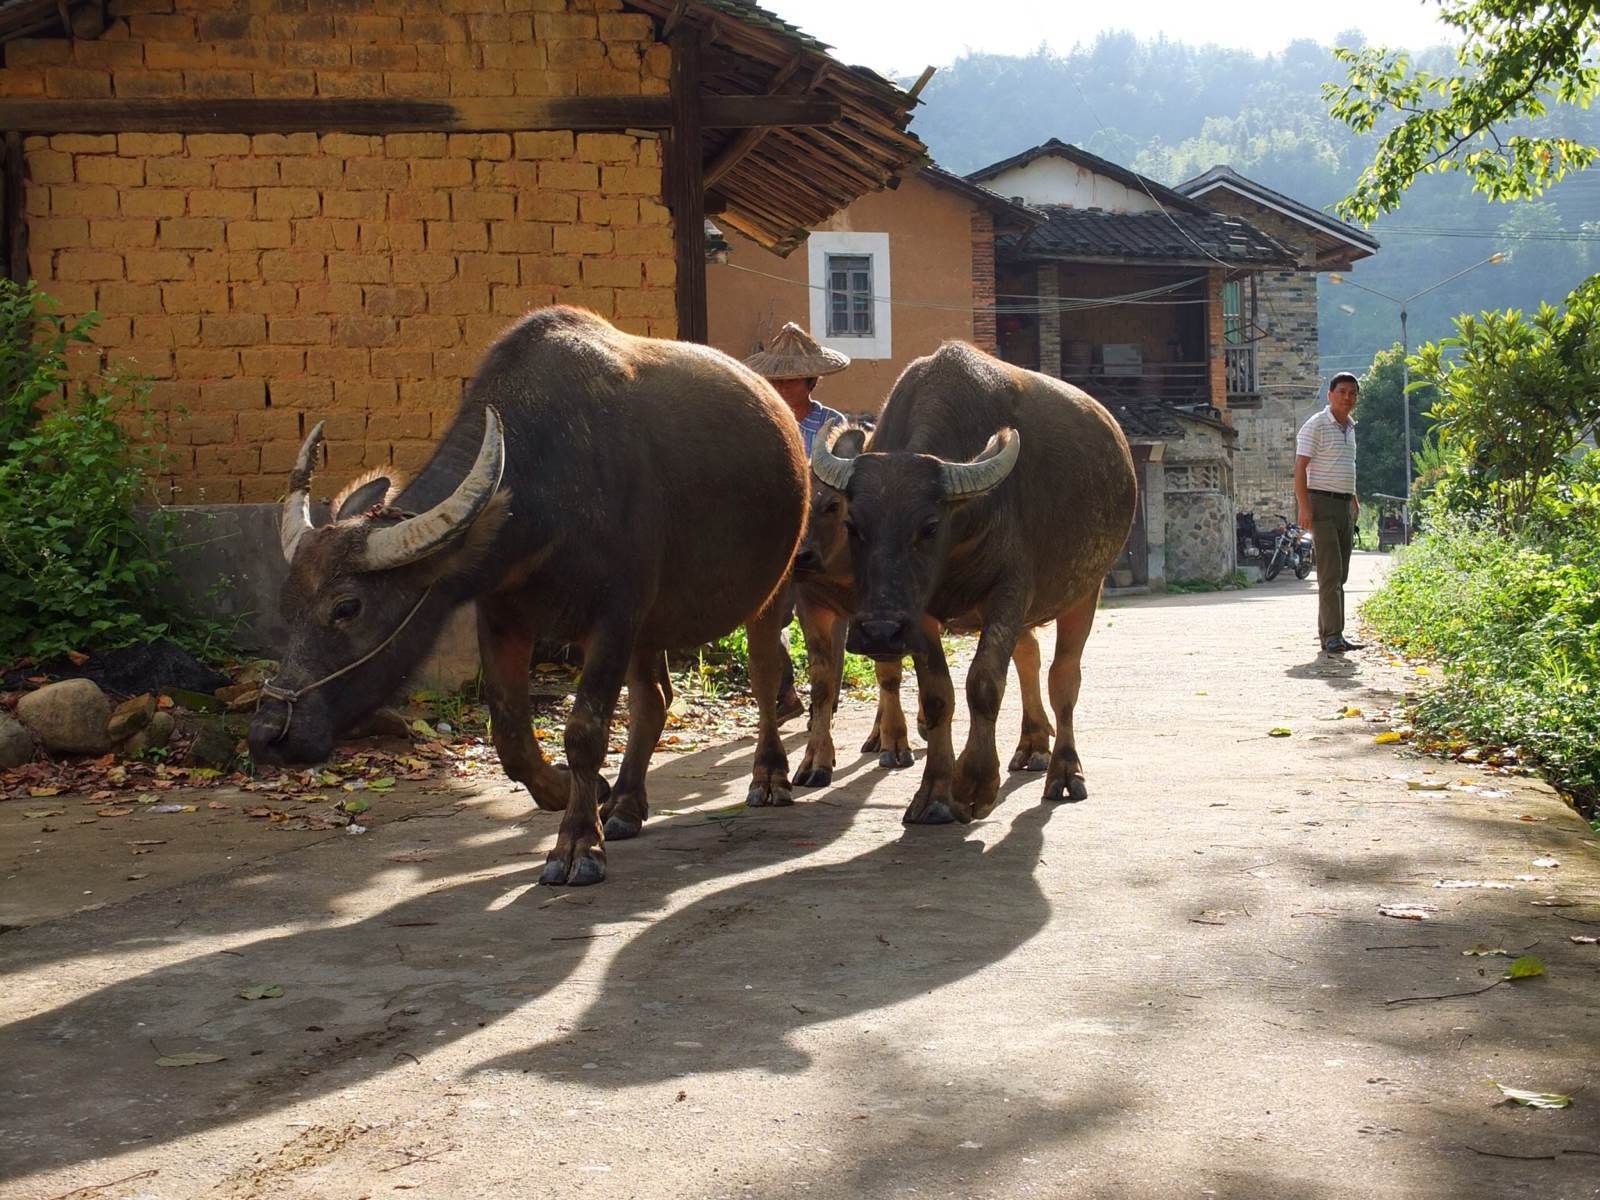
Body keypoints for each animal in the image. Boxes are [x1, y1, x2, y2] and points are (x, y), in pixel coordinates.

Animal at [251, 302, 812, 883]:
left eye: (347, 607)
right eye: (287, 607)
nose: (269, 735)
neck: (548, 488)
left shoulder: (614, 616)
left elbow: (585, 730)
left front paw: (577, 845)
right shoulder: (503, 617)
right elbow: (511, 736)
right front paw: (569, 792)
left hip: (773, 587)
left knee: (765, 676)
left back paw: (769, 778)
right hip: (651, 626)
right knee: (654, 699)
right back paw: (626, 805)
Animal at [790, 428, 1062, 790]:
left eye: (832, 505)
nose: (800, 557)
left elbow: (889, 672)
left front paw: (896, 742)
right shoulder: (813, 604)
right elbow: (823, 682)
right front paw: (815, 760)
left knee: (1027, 650)